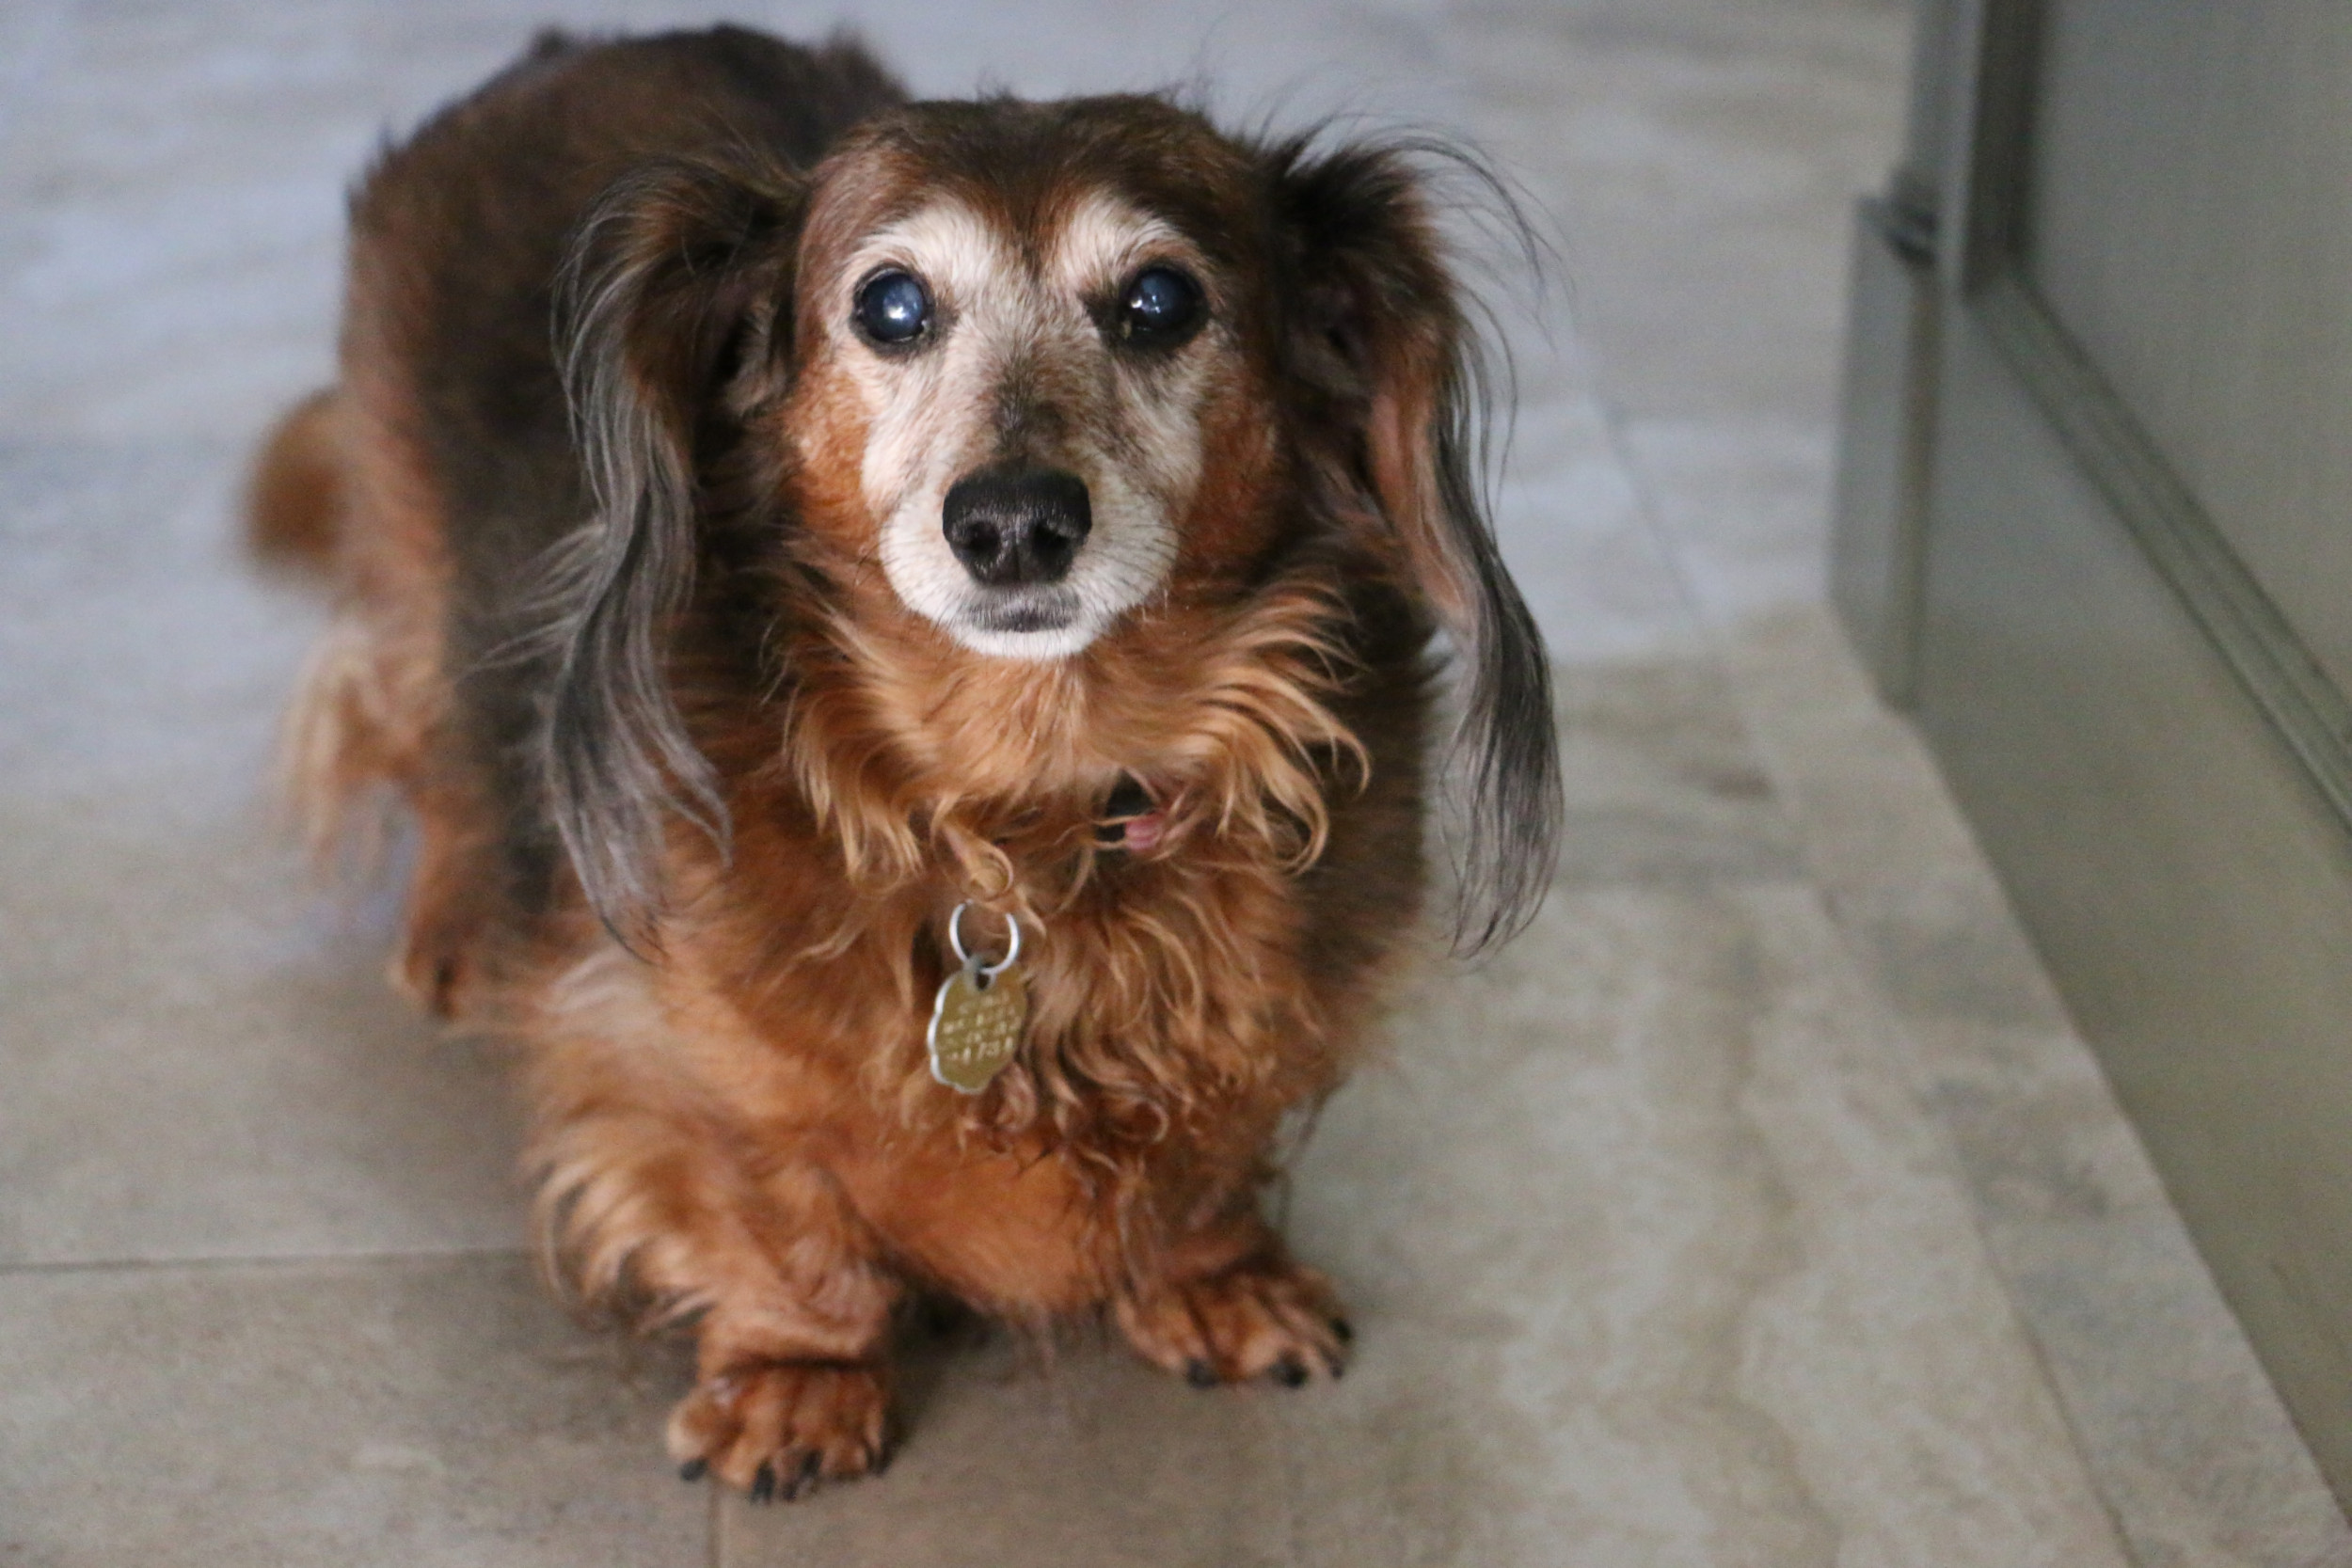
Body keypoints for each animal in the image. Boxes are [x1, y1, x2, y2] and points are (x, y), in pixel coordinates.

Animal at [247, 21, 1552, 1495]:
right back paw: (458, 921)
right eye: (890, 306)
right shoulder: (670, 1046)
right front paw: (799, 1371)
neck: (1033, 813)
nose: (1012, 524)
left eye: (1161, 300)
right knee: (419, 712)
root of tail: (574, 44)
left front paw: (1211, 1272)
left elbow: (1221, 1140)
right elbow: (773, 1196)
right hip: (412, 540)